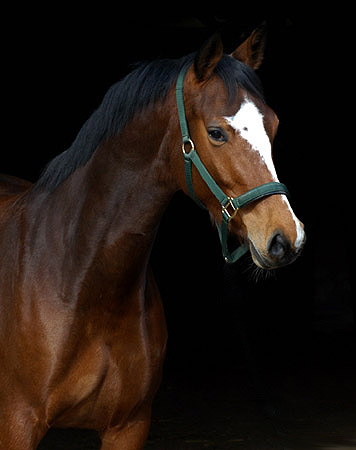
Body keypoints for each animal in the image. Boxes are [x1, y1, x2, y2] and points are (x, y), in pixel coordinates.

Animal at [0, 26, 306, 448]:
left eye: (273, 125)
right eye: (216, 133)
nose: (285, 238)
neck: (79, 279)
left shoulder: (129, 425)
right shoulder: (18, 422)